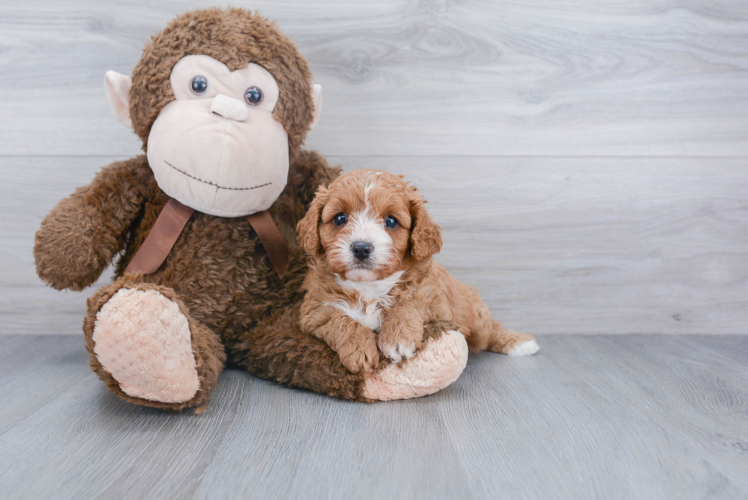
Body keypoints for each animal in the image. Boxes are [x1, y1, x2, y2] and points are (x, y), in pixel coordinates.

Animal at [296, 170, 536, 374]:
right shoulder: (314, 310)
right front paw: (359, 349)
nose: (361, 247)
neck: (369, 287)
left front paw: (397, 338)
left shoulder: (437, 304)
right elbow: (339, 319)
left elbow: (410, 303)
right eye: (339, 218)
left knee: (491, 330)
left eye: (391, 221)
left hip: (475, 318)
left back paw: (519, 343)